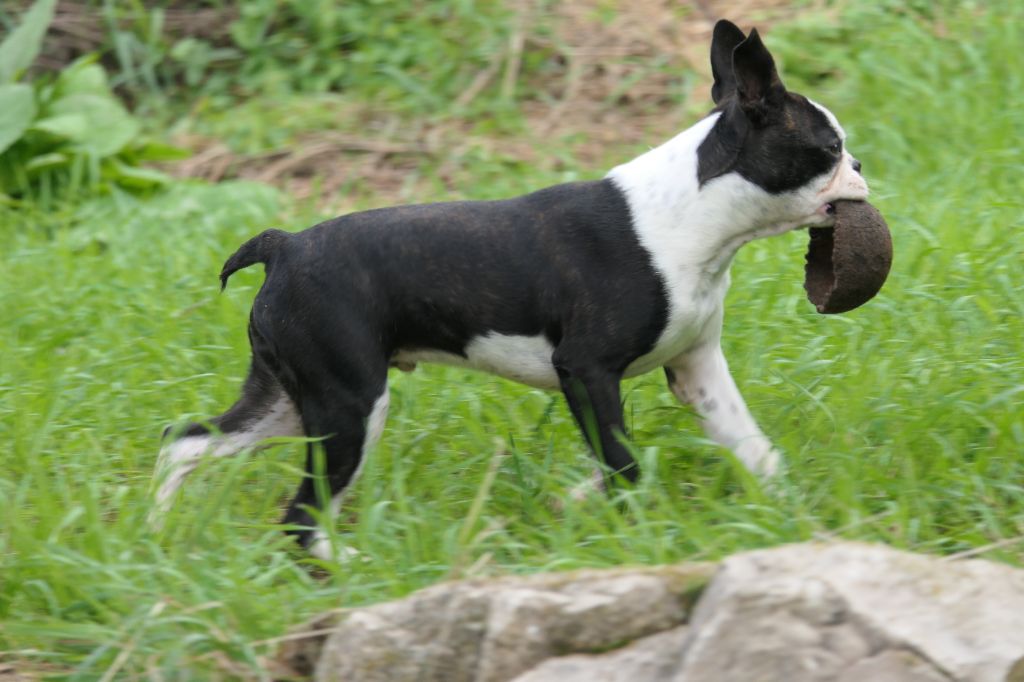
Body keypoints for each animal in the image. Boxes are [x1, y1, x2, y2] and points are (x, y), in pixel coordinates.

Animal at [155, 22, 868, 557]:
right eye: (829, 148)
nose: (861, 166)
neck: (693, 215)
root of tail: (285, 245)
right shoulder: (586, 370)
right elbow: (622, 460)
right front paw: (624, 521)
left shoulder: (697, 368)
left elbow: (751, 447)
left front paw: (796, 518)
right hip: (347, 405)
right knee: (301, 514)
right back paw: (347, 566)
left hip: (286, 399)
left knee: (186, 441)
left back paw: (159, 529)